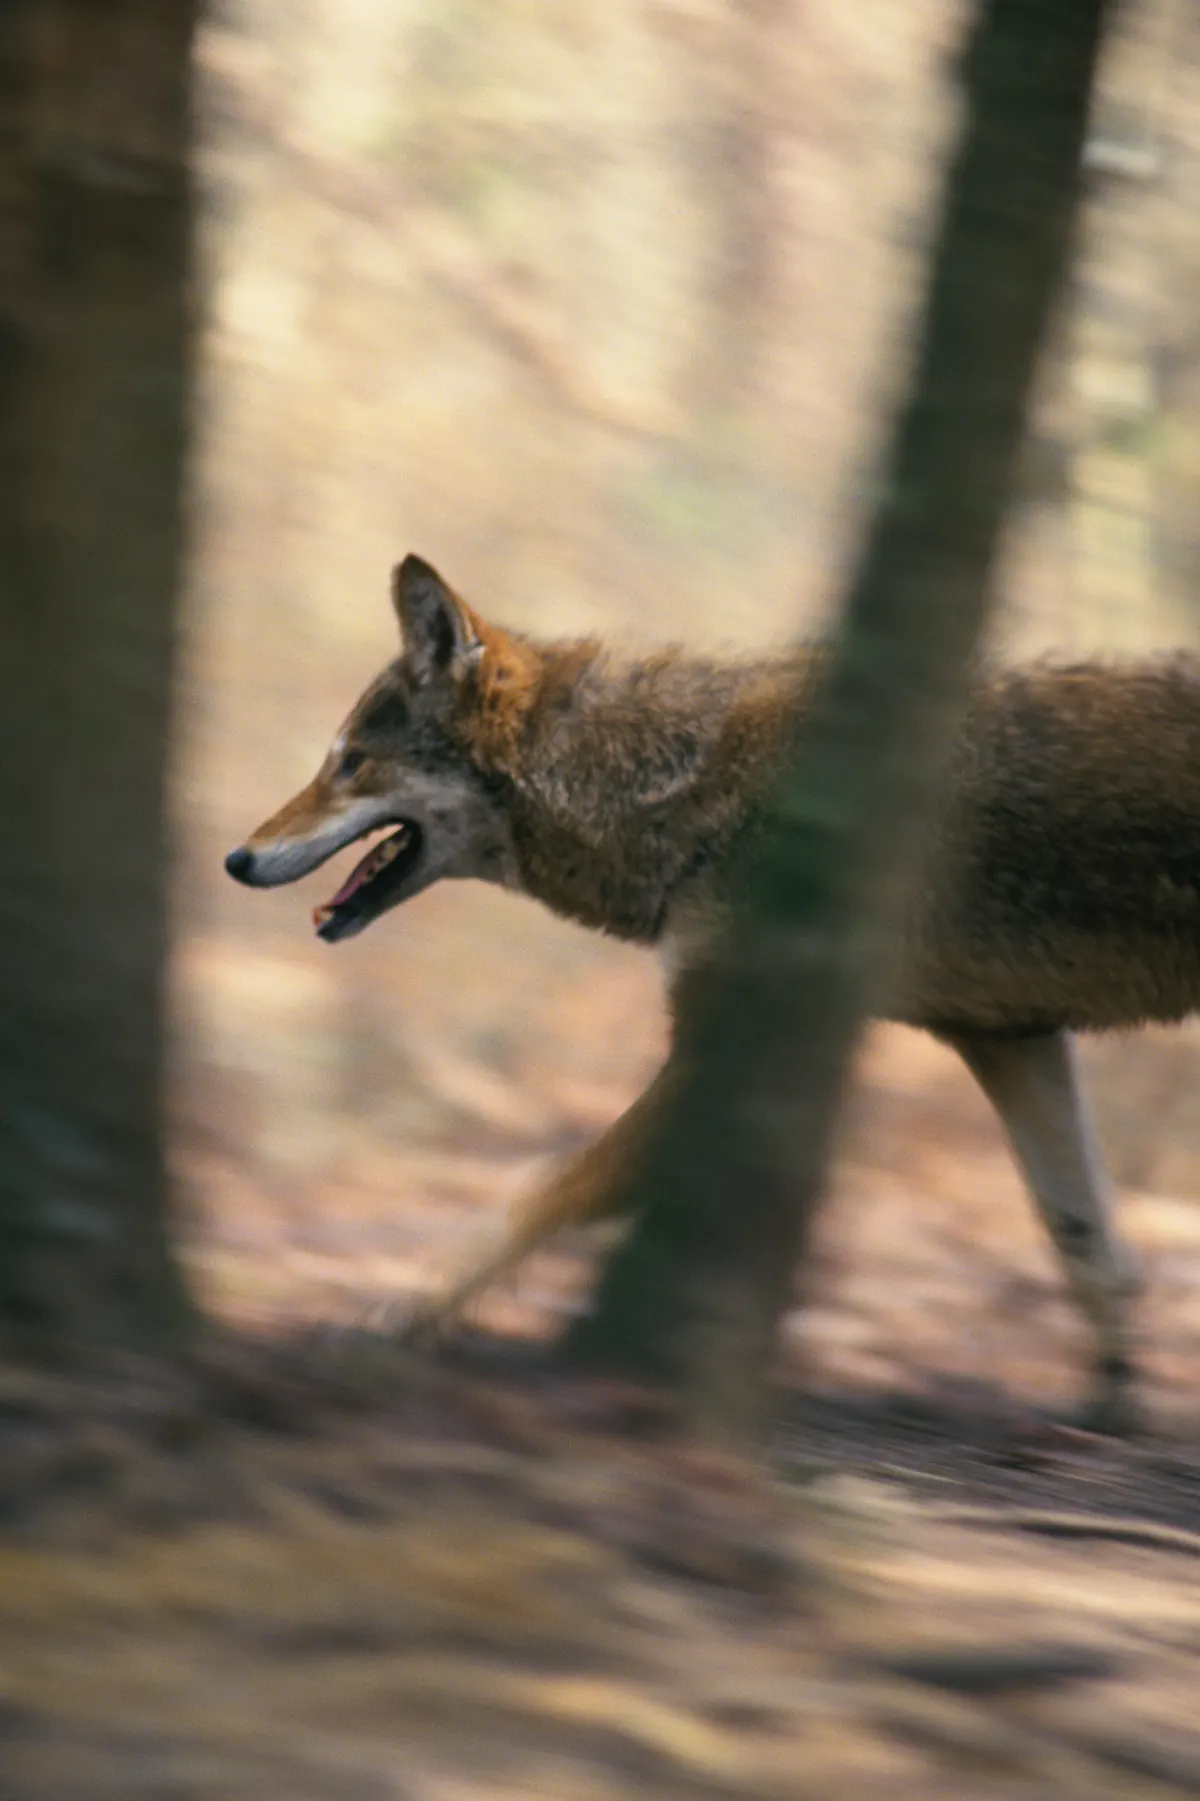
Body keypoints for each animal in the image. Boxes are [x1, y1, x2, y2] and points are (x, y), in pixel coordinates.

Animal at [227, 554, 1200, 1431]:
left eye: (350, 764)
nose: (236, 857)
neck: (665, 782)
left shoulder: (715, 1059)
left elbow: (535, 1193)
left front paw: (392, 1320)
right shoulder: (1007, 1035)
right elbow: (1088, 1244)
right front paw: (1112, 1403)